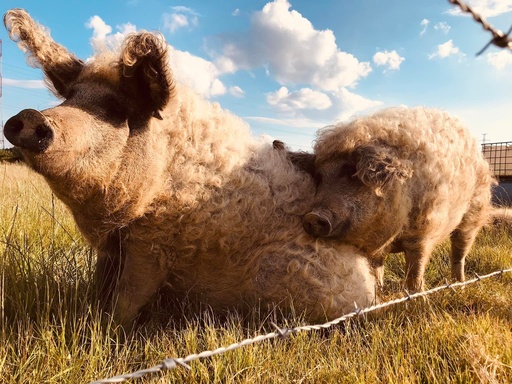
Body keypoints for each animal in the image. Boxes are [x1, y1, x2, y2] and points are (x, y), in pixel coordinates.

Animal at [1, 9, 376, 328]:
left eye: (115, 109)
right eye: (70, 98)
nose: (30, 116)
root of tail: (371, 288)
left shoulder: (153, 247)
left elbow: (128, 298)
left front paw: (107, 329)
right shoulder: (114, 247)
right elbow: (101, 284)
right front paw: (91, 314)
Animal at [278, 106, 494, 290]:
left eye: (351, 173)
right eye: (319, 177)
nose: (313, 217)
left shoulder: (423, 232)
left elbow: (415, 271)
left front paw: (417, 300)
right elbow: (375, 270)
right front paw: (377, 297)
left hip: (473, 213)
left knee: (459, 252)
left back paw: (460, 285)